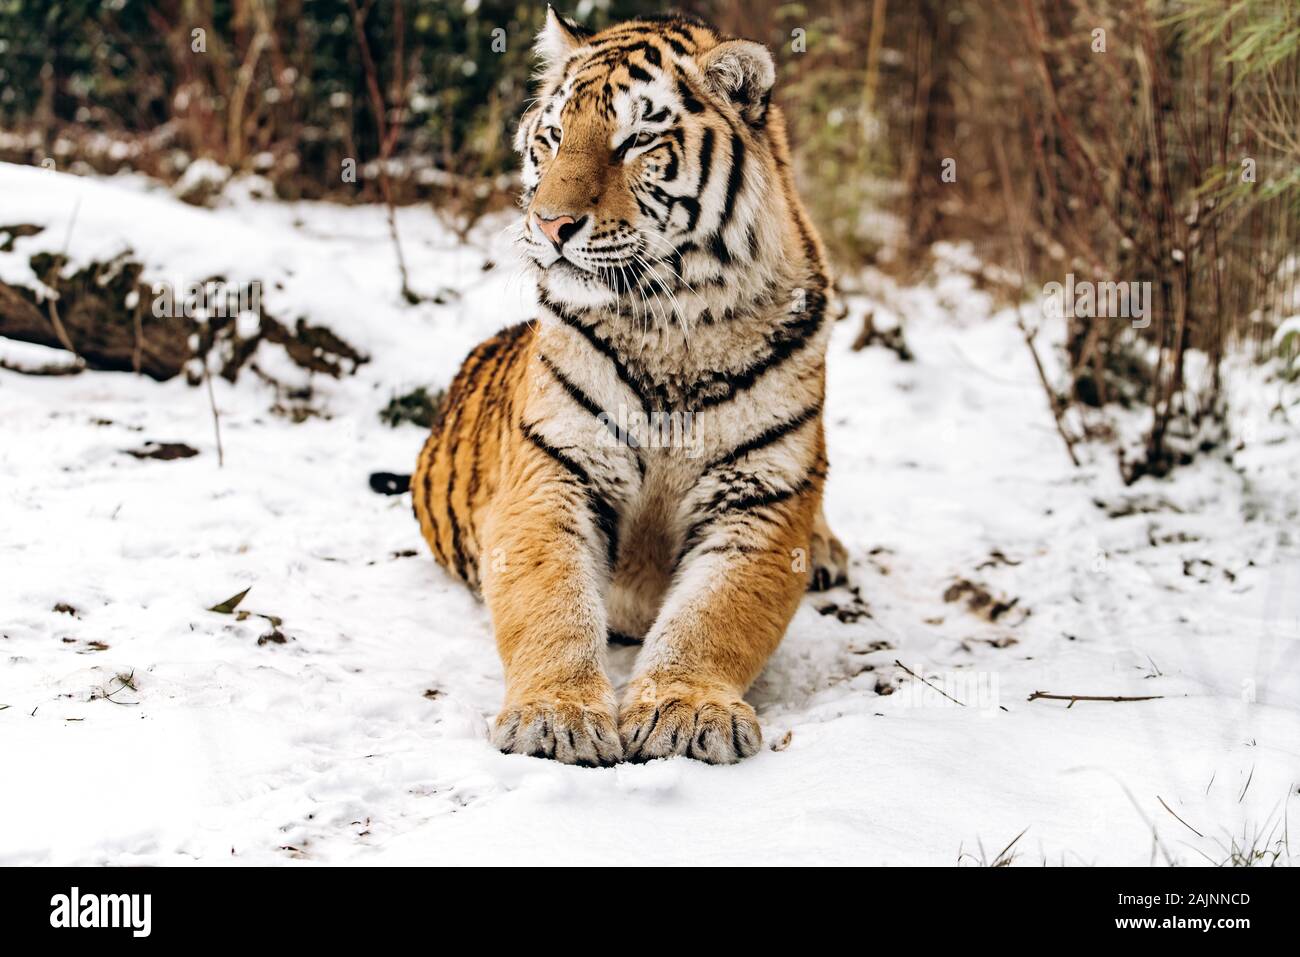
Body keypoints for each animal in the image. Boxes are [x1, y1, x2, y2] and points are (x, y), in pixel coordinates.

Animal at [400, 9, 847, 764]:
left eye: (636, 140)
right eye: (553, 137)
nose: (549, 224)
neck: (676, 323)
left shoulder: (762, 497)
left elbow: (714, 616)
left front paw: (684, 707)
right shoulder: (551, 475)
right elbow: (552, 605)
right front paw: (555, 716)